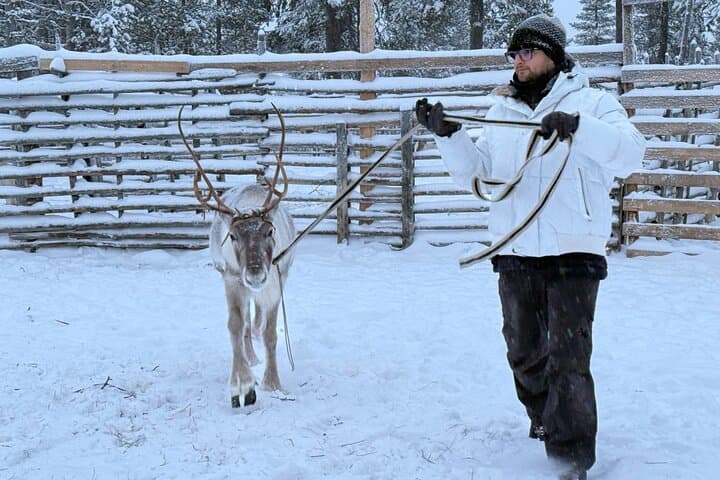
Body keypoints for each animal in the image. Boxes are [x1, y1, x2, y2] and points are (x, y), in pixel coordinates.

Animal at [178, 105, 296, 408]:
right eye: (232, 236)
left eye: (270, 230)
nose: (254, 272)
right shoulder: (231, 277)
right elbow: (234, 326)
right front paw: (242, 385)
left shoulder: (277, 281)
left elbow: (269, 333)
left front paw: (273, 383)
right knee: (243, 324)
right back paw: (251, 358)